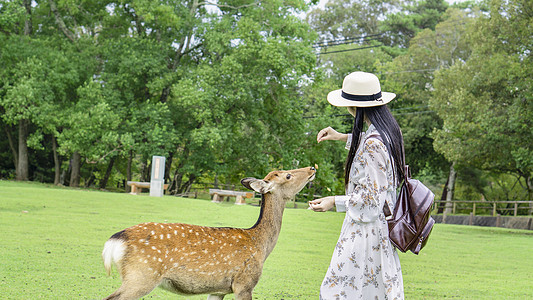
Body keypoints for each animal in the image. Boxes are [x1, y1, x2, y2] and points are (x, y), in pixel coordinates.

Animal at [102, 165, 314, 298]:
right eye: (288, 175)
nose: (312, 169)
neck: (261, 244)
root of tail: (115, 241)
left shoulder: (218, 289)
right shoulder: (244, 283)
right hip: (141, 276)